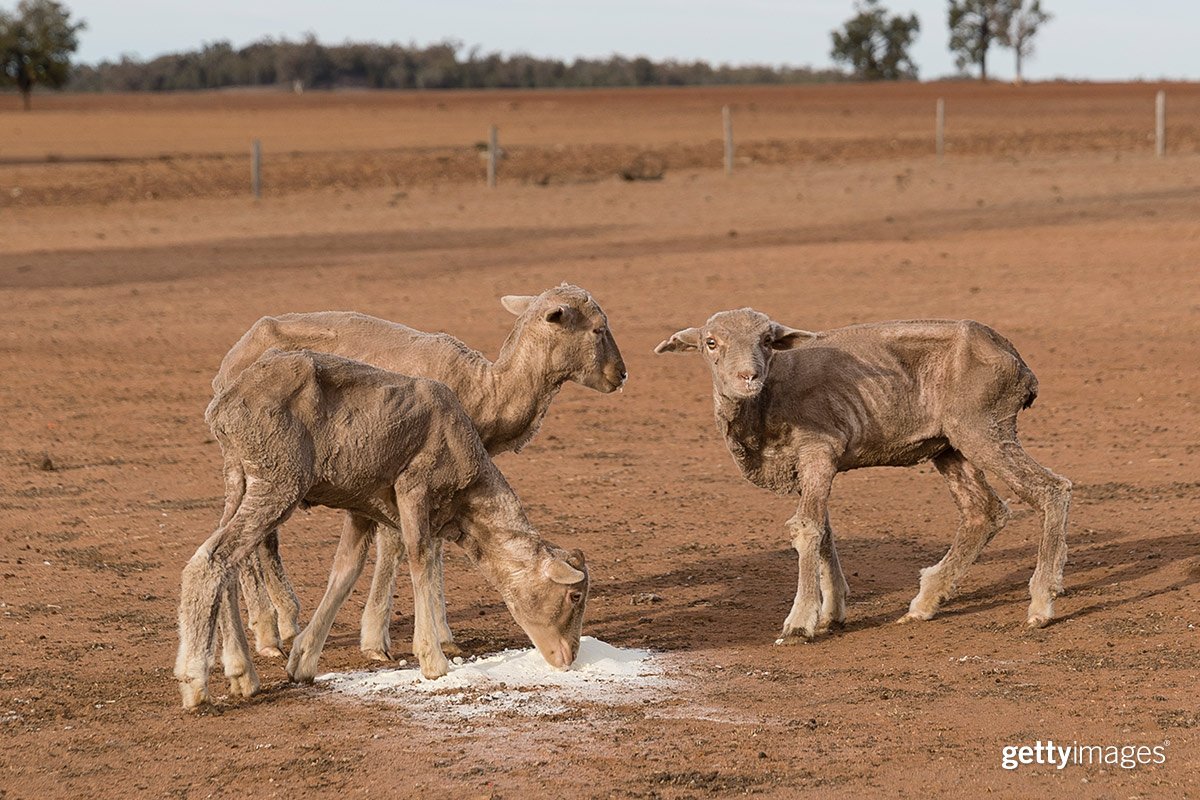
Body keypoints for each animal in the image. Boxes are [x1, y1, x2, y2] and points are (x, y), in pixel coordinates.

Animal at [175, 347, 588, 710]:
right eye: (574, 596)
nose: (568, 658)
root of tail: (224, 403)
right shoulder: (413, 487)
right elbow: (420, 560)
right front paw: (433, 661)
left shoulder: (360, 506)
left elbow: (345, 573)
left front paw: (303, 660)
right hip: (279, 480)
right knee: (211, 560)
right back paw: (195, 684)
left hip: (240, 477)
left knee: (227, 566)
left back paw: (240, 674)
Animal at [214, 284, 624, 662]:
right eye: (598, 329)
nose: (621, 374)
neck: (489, 389)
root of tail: (231, 363)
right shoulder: (407, 475)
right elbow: (398, 547)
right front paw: (380, 641)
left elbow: (434, 545)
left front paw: (441, 636)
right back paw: (268, 634)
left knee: (261, 540)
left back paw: (282, 622)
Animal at [662, 309, 1075, 642]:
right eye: (711, 343)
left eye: (767, 341)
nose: (747, 376)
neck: (766, 401)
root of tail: (1015, 359)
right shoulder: (809, 468)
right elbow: (824, 532)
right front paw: (831, 614)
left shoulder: (818, 450)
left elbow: (806, 528)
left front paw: (799, 622)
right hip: (949, 444)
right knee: (984, 512)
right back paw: (925, 602)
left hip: (982, 426)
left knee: (1052, 489)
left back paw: (1041, 603)